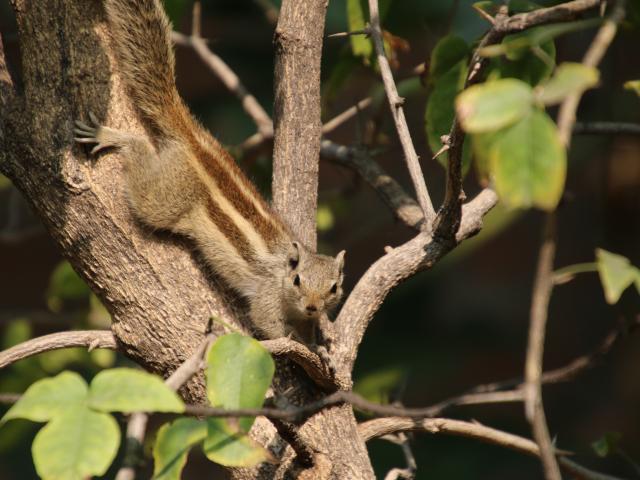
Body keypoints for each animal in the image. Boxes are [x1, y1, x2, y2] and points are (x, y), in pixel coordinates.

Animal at [74, 0, 344, 346]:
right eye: (297, 280)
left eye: (333, 288)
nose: (312, 307)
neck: (284, 269)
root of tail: (194, 140)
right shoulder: (267, 296)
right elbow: (267, 324)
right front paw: (297, 344)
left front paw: (314, 342)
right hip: (165, 196)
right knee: (141, 161)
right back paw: (115, 137)